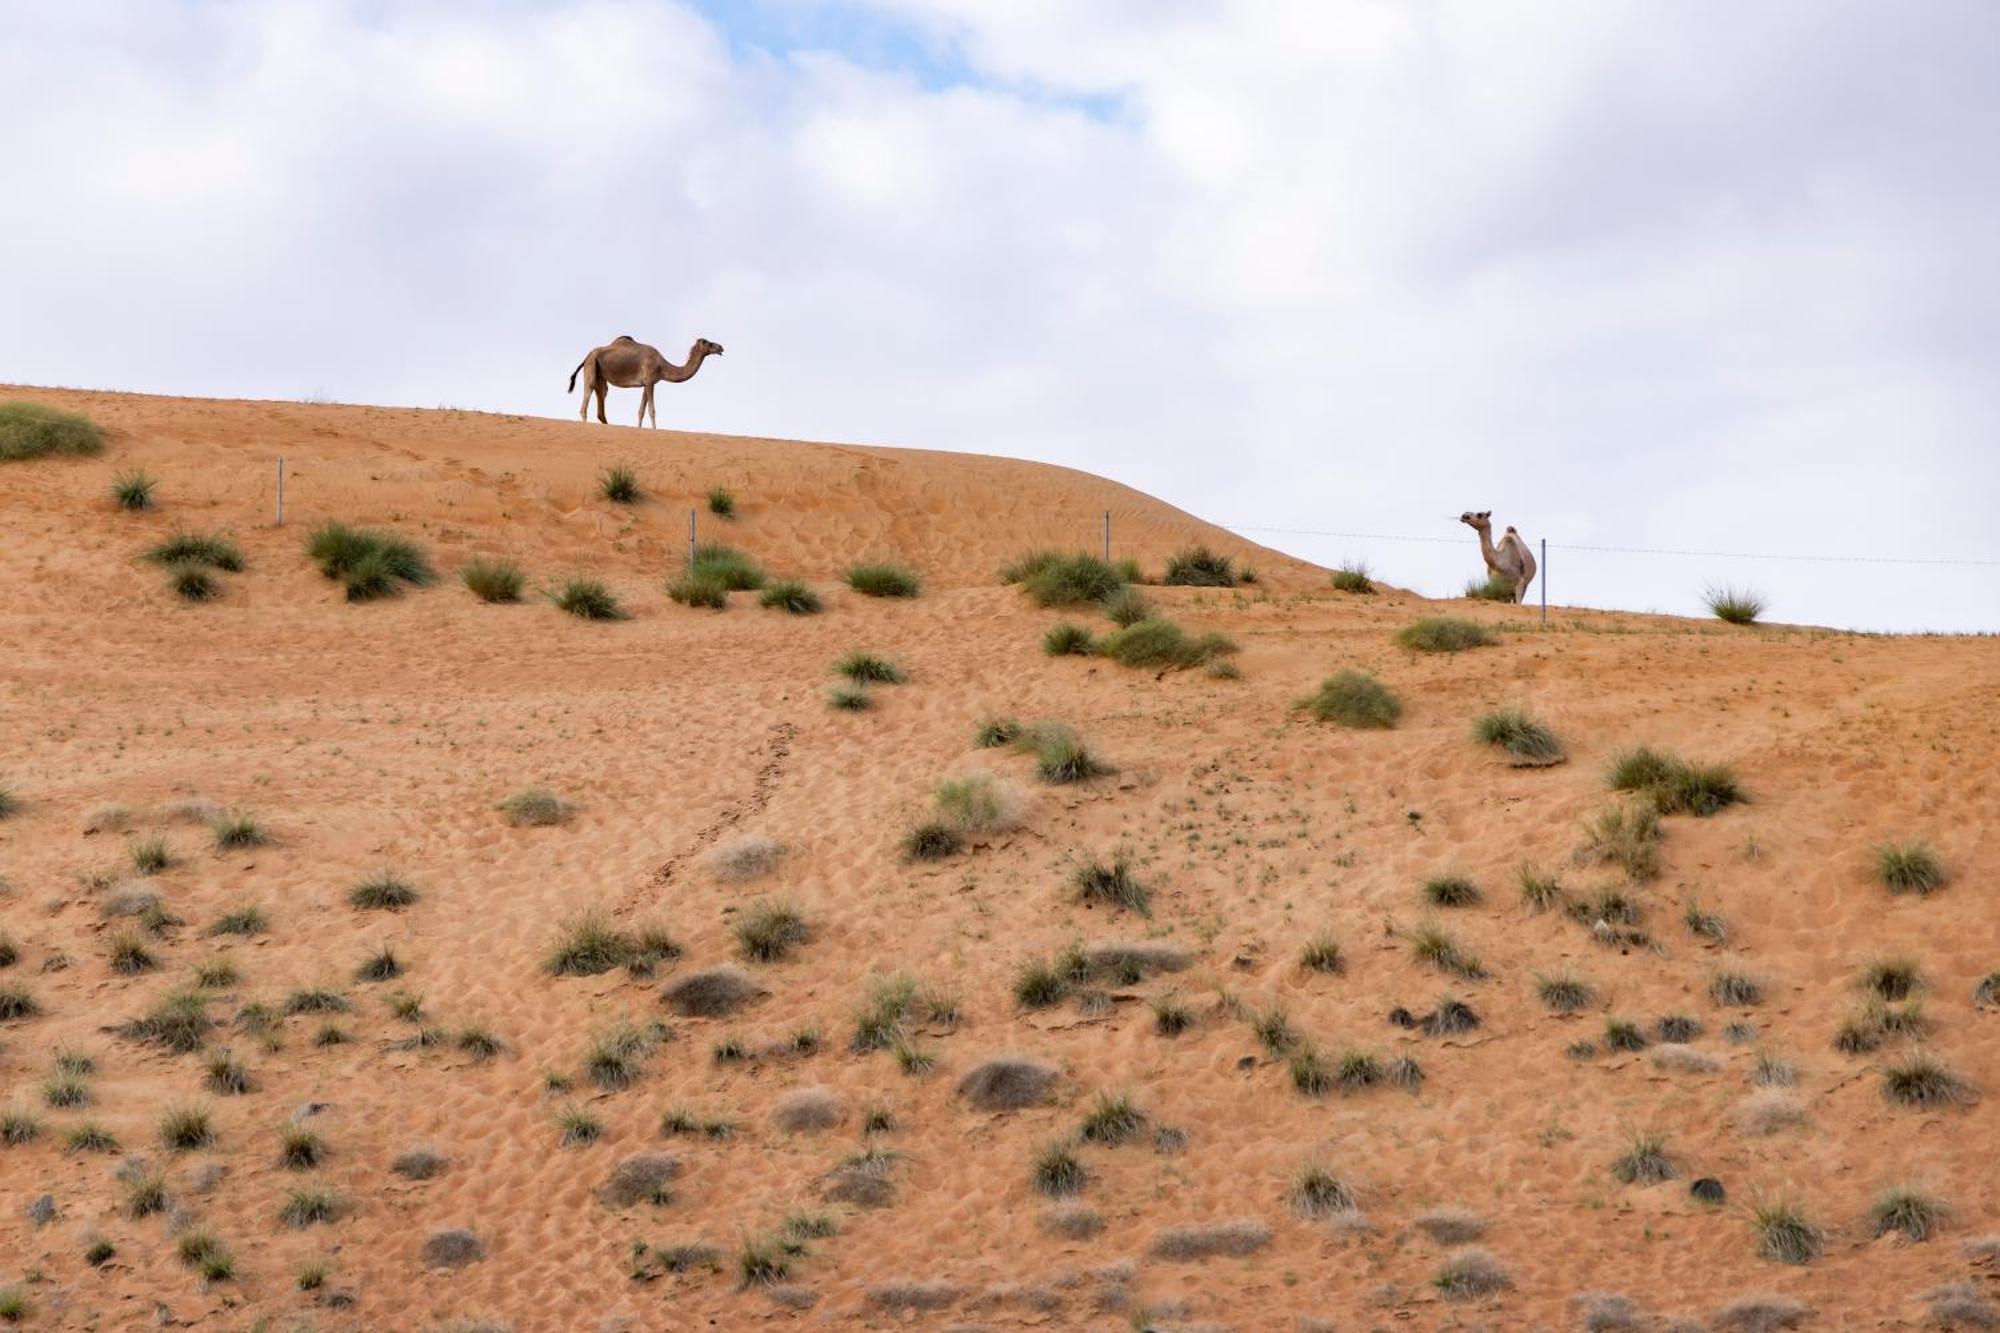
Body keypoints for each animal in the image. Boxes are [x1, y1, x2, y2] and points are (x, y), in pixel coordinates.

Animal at [568, 334, 724, 428]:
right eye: (709, 343)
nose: (721, 347)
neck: (662, 366)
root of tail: (586, 357)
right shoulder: (650, 381)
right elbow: (651, 410)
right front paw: (655, 430)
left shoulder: (646, 384)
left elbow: (641, 411)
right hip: (591, 367)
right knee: (585, 400)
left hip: (600, 376)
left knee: (601, 401)